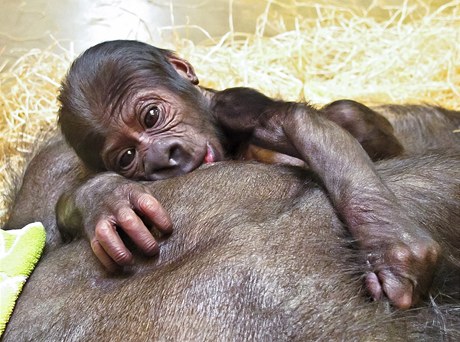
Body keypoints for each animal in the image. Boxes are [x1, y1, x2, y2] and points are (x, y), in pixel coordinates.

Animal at [58, 40, 438, 310]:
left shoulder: (235, 106)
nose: (164, 157)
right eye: (126, 157)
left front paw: (392, 249)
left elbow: (290, 120)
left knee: (346, 112)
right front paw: (105, 198)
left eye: (151, 116)